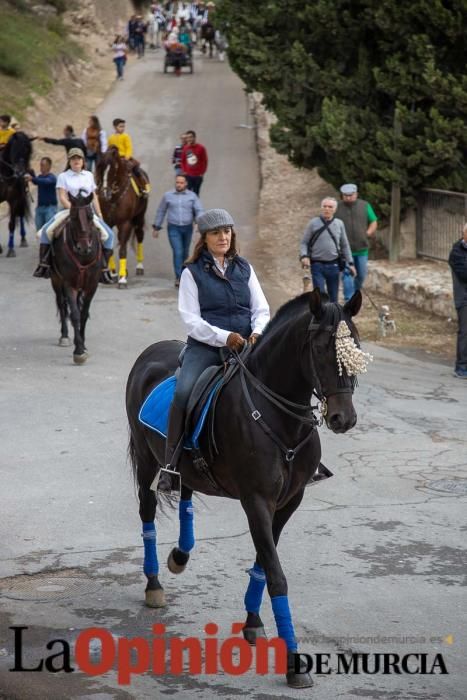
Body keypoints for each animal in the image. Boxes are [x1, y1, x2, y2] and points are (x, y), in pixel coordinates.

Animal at [49, 193, 103, 364]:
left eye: (90, 216)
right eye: (73, 217)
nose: (84, 247)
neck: (83, 257)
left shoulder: (92, 285)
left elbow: (83, 314)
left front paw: (83, 345)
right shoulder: (69, 284)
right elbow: (74, 314)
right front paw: (79, 351)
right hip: (56, 280)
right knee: (61, 304)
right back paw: (65, 336)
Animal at [97, 148, 150, 290]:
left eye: (115, 167)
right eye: (100, 167)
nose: (104, 193)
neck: (115, 196)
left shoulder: (125, 223)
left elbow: (122, 250)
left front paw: (122, 280)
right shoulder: (108, 222)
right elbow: (110, 248)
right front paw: (114, 274)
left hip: (139, 217)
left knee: (139, 235)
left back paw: (139, 266)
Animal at [126, 290, 364, 688]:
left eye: (357, 345)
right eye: (320, 348)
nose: (343, 418)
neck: (278, 416)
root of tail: (150, 352)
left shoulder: (288, 502)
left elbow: (263, 563)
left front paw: (253, 623)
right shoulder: (257, 501)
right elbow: (276, 574)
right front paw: (294, 664)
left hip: (187, 466)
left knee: (186, 496)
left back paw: (180, 555)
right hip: (147, 462)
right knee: (147, 512)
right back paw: (154, 584)